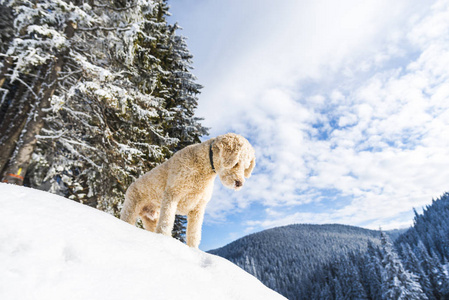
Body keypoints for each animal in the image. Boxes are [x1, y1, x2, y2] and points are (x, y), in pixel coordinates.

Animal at [120, 134, 256, 248]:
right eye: (236, 163)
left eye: (246, 167)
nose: (239, 183)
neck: (203, 169)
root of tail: (131, 185)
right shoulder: (172, 194)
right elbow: (166, 221)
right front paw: (164, 240)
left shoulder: (198, 208)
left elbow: (194, 233)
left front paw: (193, 250)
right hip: (131, 208)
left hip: (151, 219)